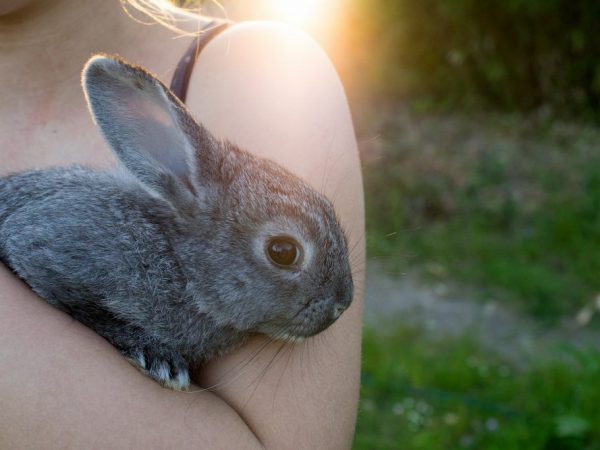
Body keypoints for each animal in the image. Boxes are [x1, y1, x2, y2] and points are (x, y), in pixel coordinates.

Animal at [0, 53, 354, 390]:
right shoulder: (51, 250)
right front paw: (160, 360)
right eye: (283, 251)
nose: (343, 304)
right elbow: (88, 309)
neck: (180, 263)